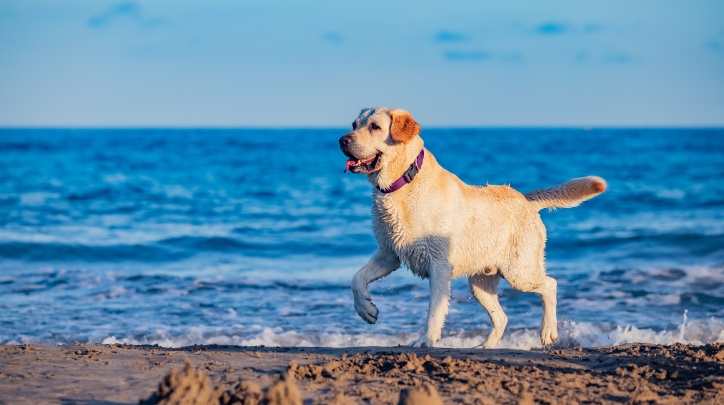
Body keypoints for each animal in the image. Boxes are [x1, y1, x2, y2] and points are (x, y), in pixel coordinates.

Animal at [340, 107, 604, 348]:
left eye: (375, 127)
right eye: (354, 124)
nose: (342, 140)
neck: (403, 182)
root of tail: (526, 200)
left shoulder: (439, 264)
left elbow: (434, 311)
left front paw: (426, 340)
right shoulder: (389, 253)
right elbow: (356, 278)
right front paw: (366, 309)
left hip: (519, 271)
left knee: (550, 285)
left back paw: (548, 331)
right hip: (480, 283)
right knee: (502, 318)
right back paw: (485, 347)